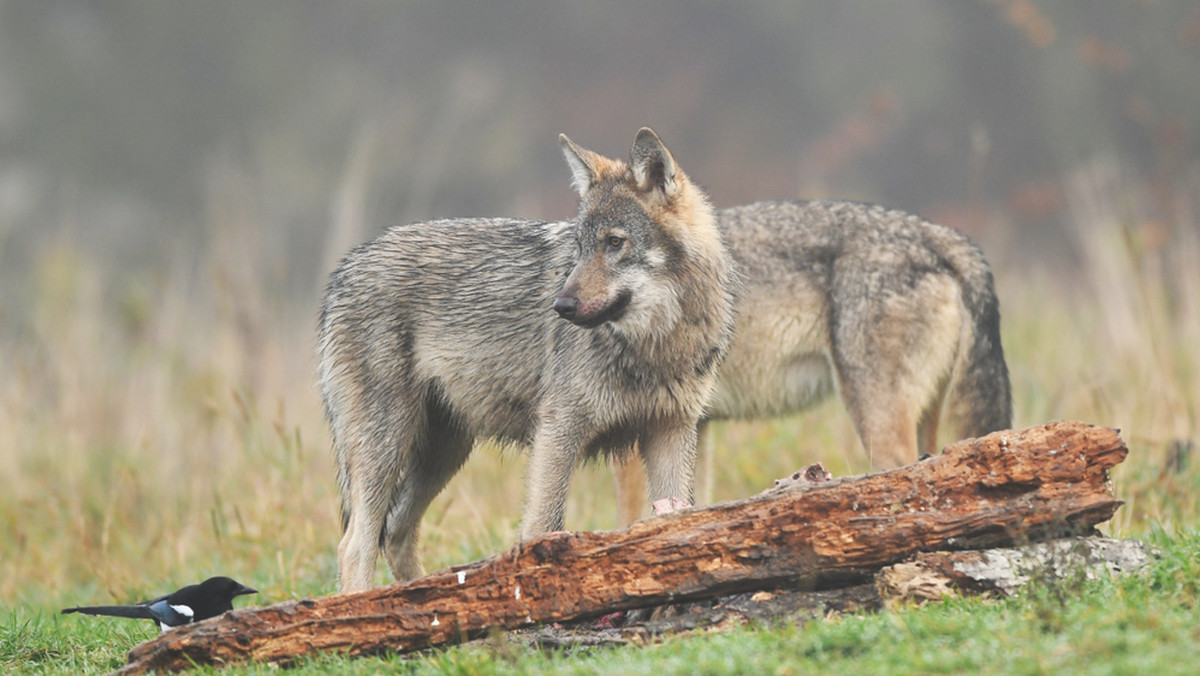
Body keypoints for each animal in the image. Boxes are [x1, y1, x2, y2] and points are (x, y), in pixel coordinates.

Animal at [319, 128, 734, 593]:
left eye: (614, 242)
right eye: (578, 247)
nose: (561, 307)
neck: (654, 346)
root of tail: (346, 268)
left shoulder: (671, 431)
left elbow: (677, 516)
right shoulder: (557, 432)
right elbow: (543, 525)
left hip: (443, 452)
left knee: (395, 534)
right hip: (388, 445)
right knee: (355, 544)